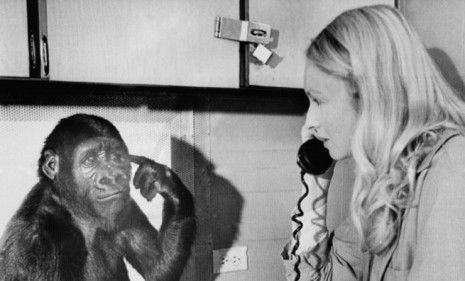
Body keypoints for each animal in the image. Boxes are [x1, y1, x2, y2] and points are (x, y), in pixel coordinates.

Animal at [0, 112, 195, 278]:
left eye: (116, 157)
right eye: (90, 160)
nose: (112, 177)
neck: (74, 212)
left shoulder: (126, 206)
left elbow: (157, 266)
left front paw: (162, 180)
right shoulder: (35, 249)